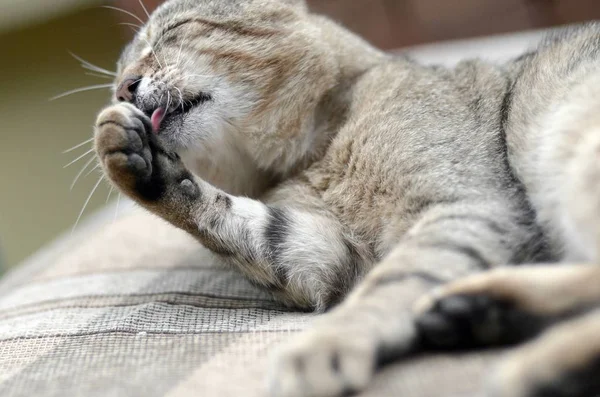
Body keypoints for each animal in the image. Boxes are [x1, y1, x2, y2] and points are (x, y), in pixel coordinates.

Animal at [91, 0, 600, 396]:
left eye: (172, 32)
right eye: (118, 77)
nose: (124, 89)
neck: (314, 155)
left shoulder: (466, 203)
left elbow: (392, 282)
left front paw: (328, 343)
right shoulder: (329, 255)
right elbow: (235, 219)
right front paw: (130, 154)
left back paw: (535, 364)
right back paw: (481, 311)